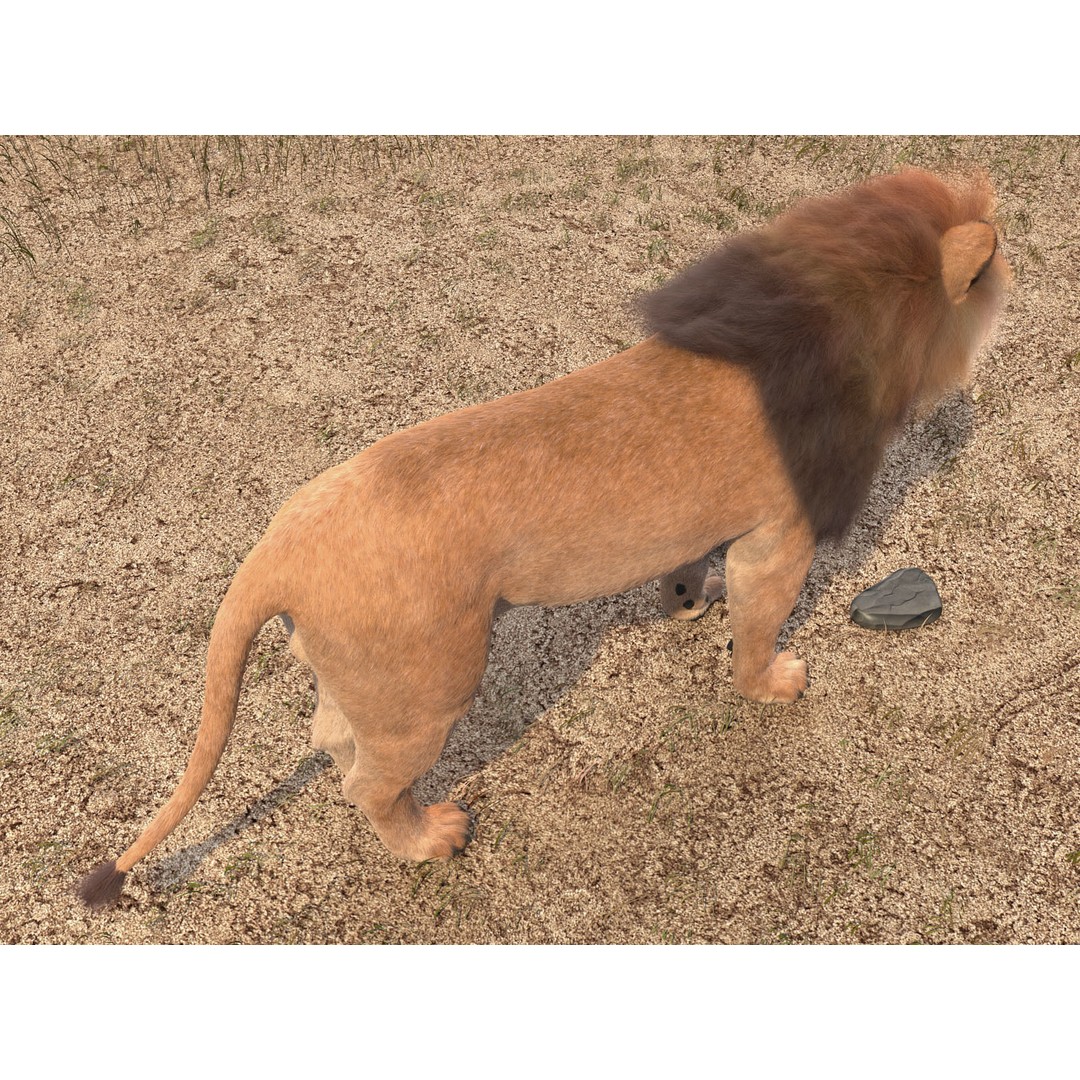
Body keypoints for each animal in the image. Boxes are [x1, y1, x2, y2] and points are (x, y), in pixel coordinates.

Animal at [78, 169, 1009, 909]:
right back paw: (431, 838)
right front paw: (774, 683)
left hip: (373, 682)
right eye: (996, 270)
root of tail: (280, 545)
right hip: (433, 690)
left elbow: (689, 567)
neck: (833, 303)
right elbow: (757, 633)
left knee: (331, 740)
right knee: (368, 783)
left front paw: (684, 601)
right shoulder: (777, 539)